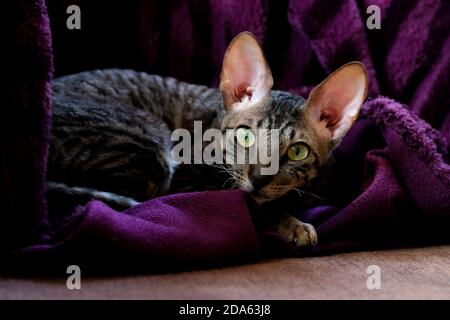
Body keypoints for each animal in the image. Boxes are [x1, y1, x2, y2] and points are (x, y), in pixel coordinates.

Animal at [47, 31, 368, 248]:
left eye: (298, 152)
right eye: (245, 136)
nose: (259, 178)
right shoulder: (194, 179)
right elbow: (251, 203)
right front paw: (293, 225)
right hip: (149, 141)